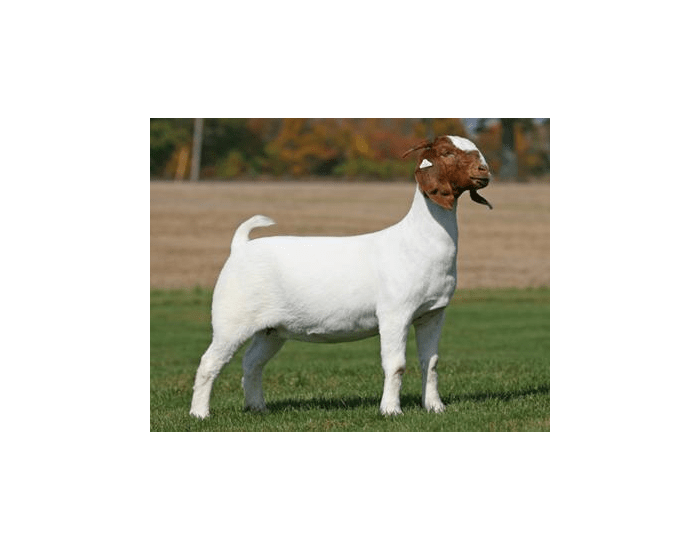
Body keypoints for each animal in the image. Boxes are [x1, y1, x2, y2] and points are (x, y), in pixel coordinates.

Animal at [189, 135, 492, 418]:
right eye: (447, 152)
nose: (484, 171)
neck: (417, 240)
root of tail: (240, 246)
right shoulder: (395, 313)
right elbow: (396, 365)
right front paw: (391, 410)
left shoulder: (432, 313)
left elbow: (430, 363)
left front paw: (435, 407)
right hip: (232, 319)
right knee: (208, 363)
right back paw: (200, 414)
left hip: (271, 329)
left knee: (252, 362)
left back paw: (258, 407)